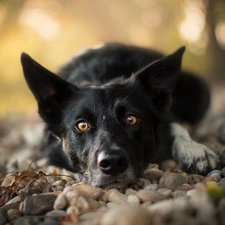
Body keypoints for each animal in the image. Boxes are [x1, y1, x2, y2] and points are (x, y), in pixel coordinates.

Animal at [20, 43, 219, 189]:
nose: (113, 162)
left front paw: (195, 150)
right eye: (82, 125)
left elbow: (175, 125)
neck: (101, 77)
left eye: (131, 119)